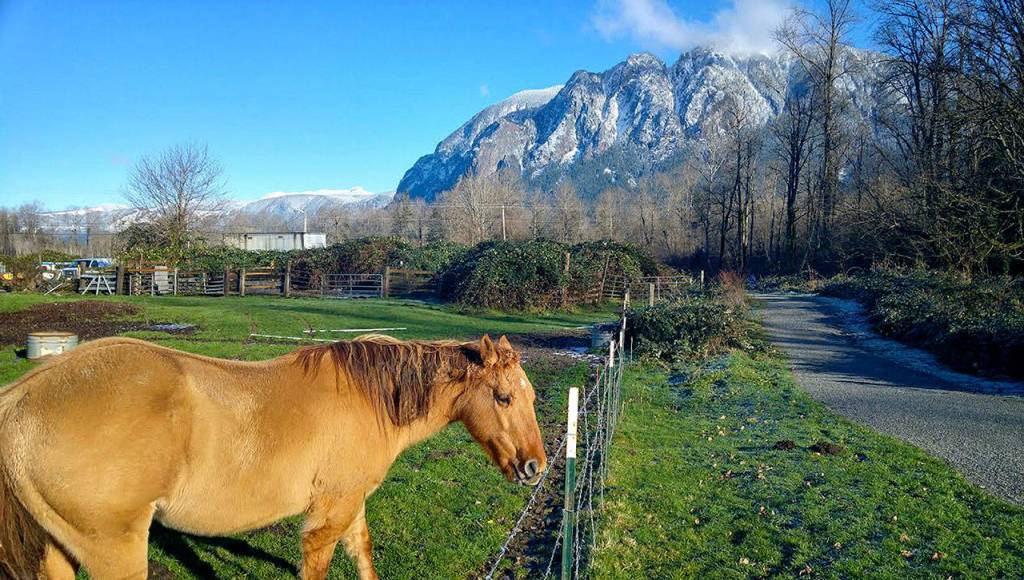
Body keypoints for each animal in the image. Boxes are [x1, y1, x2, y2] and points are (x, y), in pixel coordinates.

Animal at [0, 333, 546, 579]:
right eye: (503, 398)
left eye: (532, 395)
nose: (536, 466)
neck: (371, 397)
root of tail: (22, 397)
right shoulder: (328, 516)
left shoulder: (348, 504)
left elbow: (362, 552)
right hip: (116, 549)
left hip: (58, 547)